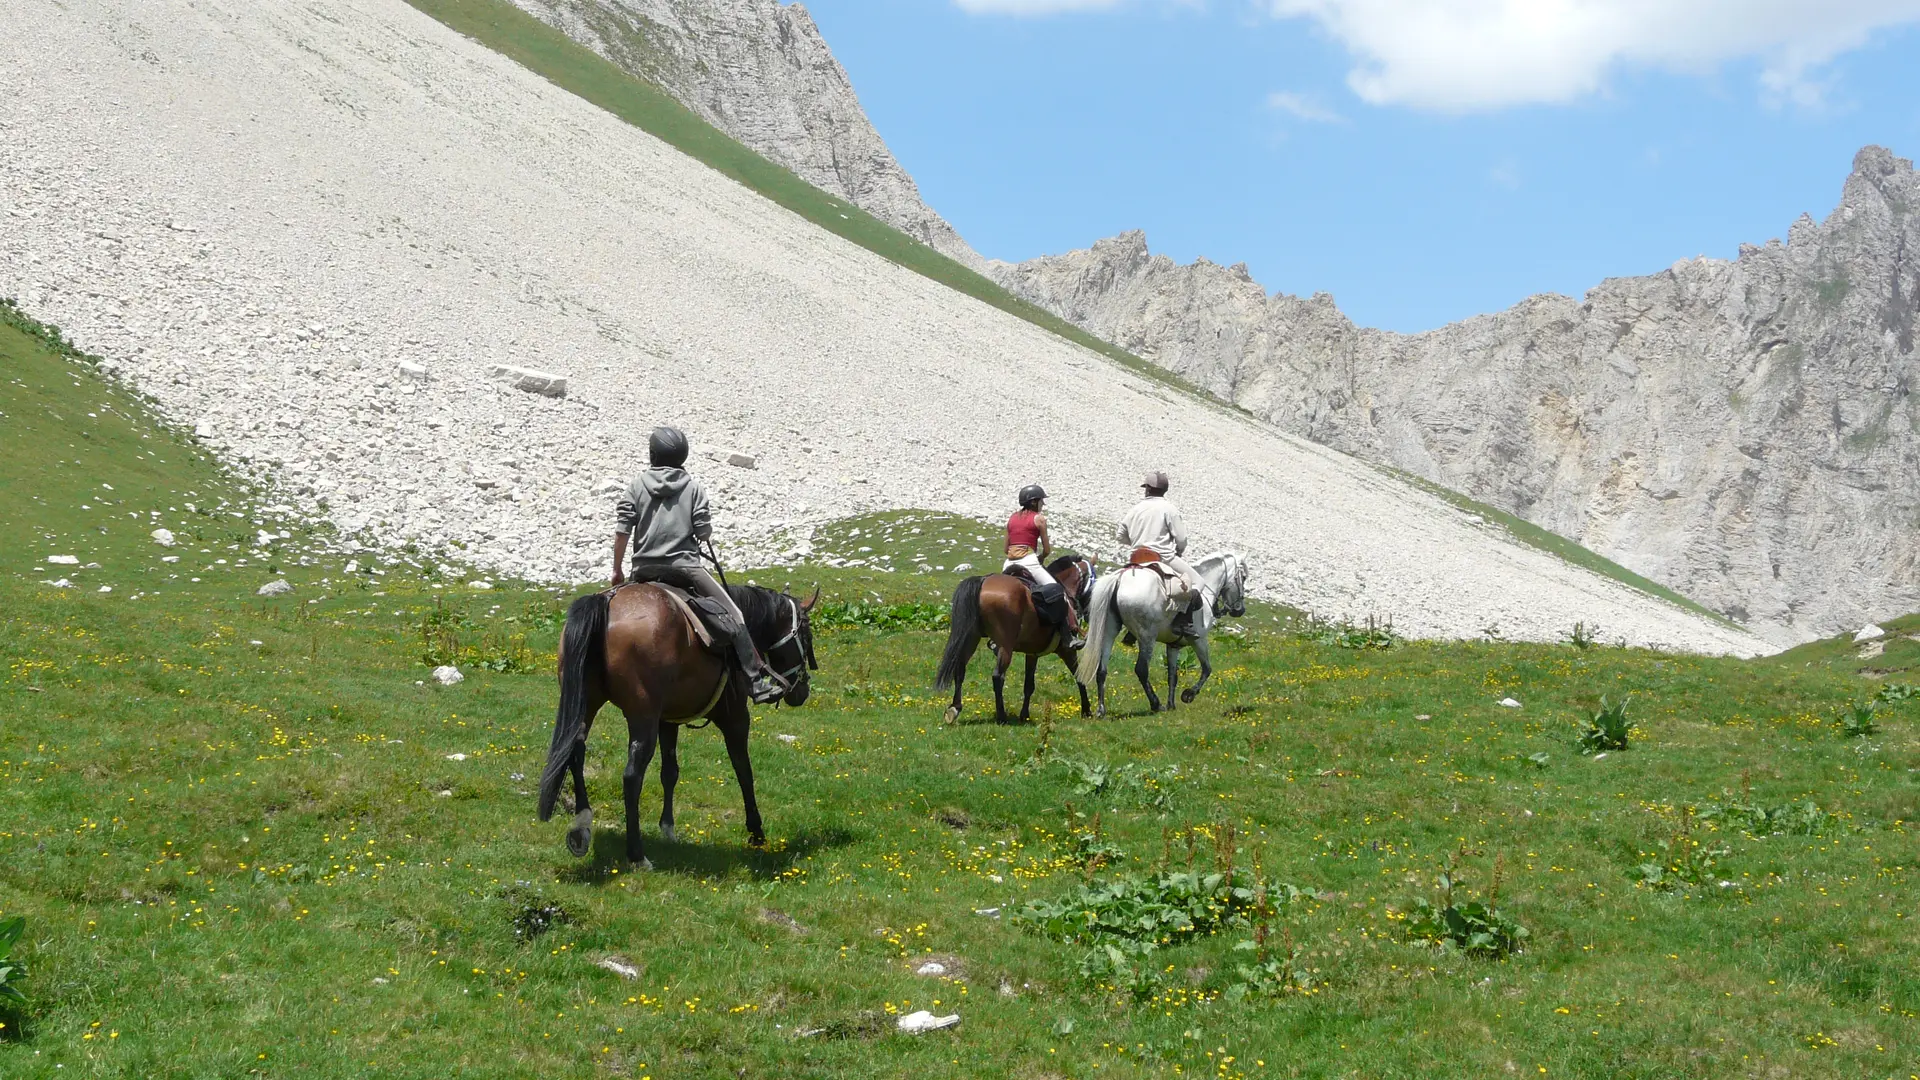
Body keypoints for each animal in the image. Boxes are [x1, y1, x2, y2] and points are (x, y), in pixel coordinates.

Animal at [533, 580, 817, 864]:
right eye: (807, 636)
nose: (802, 692)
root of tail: (608, 600)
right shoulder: (735, 718)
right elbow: (743, 771)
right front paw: (756, 832)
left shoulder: (668, 721)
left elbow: (670, 772)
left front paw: (667, 828)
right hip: (641, 717)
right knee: (631, 775)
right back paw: (636, 854)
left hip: (587, 705)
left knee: (576, 752)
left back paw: (582, 827)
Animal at [933, 553, 1098, 722]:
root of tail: (983, 580)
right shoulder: (1066, 650)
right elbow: (1079, 676)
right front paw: (1086, 711)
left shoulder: (1032, 653)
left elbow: (1029, 685)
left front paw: (1024, 715)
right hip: (1005, 645)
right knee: (997, 676)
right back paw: (1001, 716)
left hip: (971, 637)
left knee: (960, 668)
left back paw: (955, 708)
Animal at [1075, 545, 1251, 714]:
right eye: (1243, 577)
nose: (1240, 610)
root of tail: (1120, 578)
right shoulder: (1199, 640)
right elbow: (1207, 669)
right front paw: (1188, 695)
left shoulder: (1173, 645)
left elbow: (1172, 675)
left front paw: (1171, 704)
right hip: (1147, 637)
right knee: (1141, 669)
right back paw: (1155, 704)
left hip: (1109, 632)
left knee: (1101, 670)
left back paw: (1101, 709)